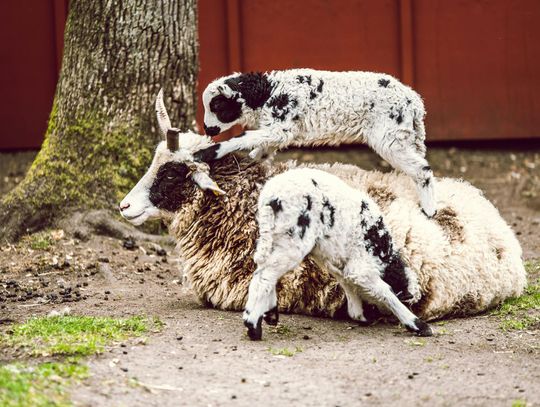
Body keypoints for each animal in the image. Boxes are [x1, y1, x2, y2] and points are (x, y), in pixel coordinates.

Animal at [198, 68, 438, 218]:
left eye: (217, 106)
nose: (207, 129)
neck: (268, 93)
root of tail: (414, 102)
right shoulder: (276, 132)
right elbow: (260, 152)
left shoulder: (281, 128)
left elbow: (243, 138)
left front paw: (207, 153)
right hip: (407, 135)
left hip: (389, 136)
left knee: (422, 169)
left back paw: (430, 210)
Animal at [243, 167, 432, 342]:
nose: (386, 320)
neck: (382, 251)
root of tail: (270, 199)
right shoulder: (361, 266)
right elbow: (385, 291)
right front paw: (418, 325)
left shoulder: (333, 262)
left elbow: (347, 282)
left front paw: (359, 314)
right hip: (292, 241)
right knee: (265, 276)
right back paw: (253, 326)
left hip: (274, 237)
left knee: (263, 271)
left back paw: (267, 315)